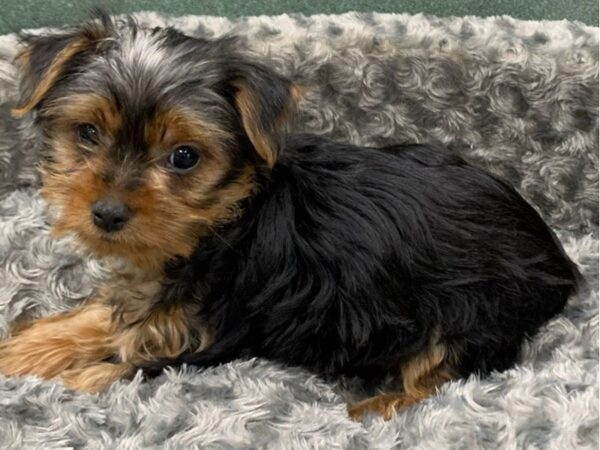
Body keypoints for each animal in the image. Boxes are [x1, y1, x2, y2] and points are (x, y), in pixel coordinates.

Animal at [0, 12, 580, 422]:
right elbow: (99, 316)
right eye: (88, 134)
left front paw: (49, 379)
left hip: (473, 309)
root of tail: (554, 253)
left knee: (447, 371)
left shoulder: (216, 335)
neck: (223, 221)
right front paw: (25, 348)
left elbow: (116, 366)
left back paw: (378, 407)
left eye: (184, 157)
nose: (108, 213)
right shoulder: (157, 292)